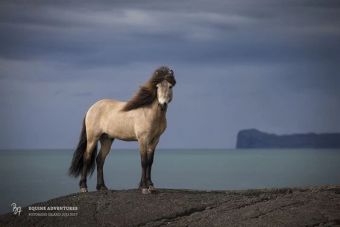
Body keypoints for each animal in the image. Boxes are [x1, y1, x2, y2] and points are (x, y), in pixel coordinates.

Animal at [68, 65, 177, 193]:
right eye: (157, 86)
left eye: (170, 86)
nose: (162, 105)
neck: (150, 113)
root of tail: (91, 108)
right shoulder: (143, 139)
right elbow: (144, 161)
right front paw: (145, 187)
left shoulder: (155, 140)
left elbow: (150, 161)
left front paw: (150, 185)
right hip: (92, 138)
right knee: (87, 157)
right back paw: (83, 187)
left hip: (106, 139)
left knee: (100, 160)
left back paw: (102, 187)